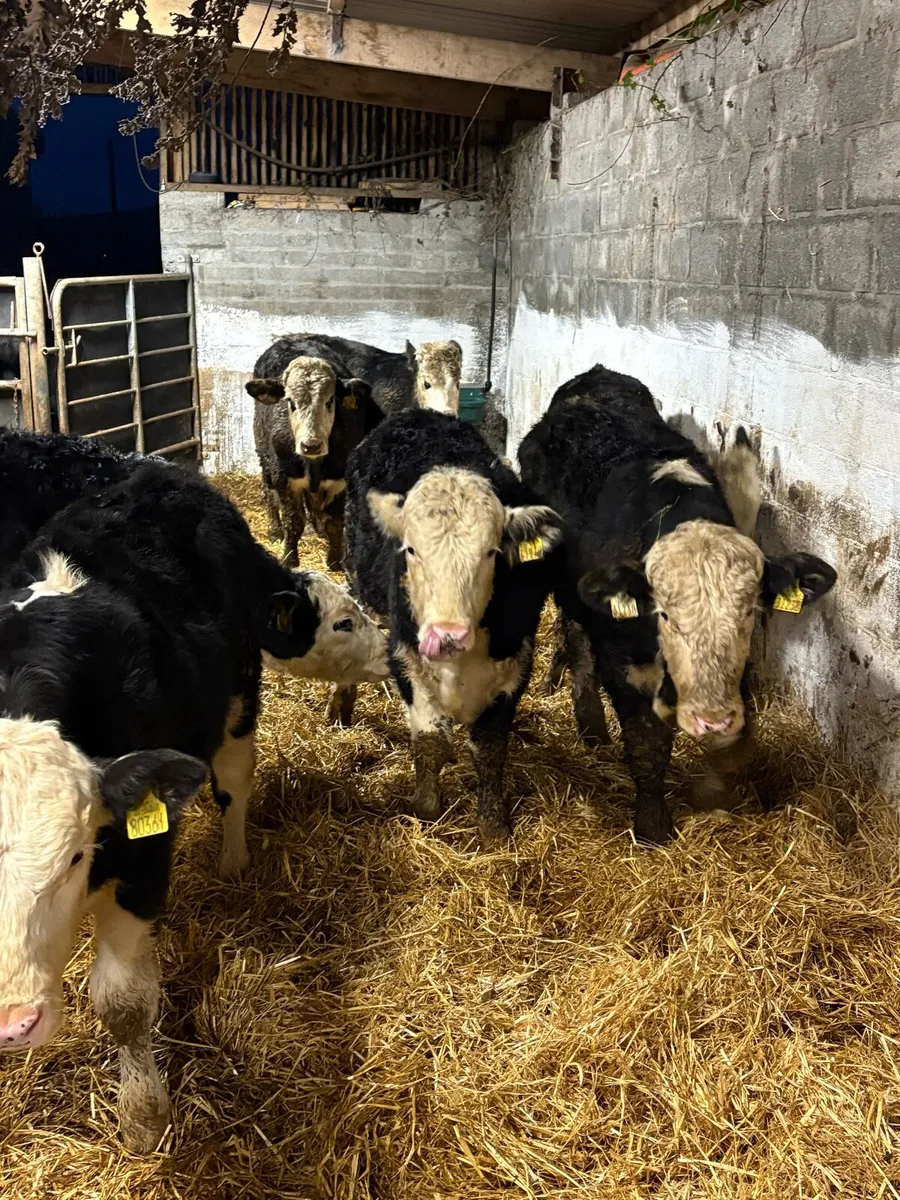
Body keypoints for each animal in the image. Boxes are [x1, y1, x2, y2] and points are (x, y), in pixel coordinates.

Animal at [0, 459, 387, 1153]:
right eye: (344, 622)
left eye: (73, 856)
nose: (14, 1023)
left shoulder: (144, 854)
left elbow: (123, 1000)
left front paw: (143, 1118)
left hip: (236, 699)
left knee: (234, 782)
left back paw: (233, 862)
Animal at [246, 341, 382, 570]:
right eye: (290, 402)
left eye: (330, 401)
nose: (311, 446)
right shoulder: (284, 477)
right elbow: (293, 522)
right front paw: (290, 559)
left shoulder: (341, 480)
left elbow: (335, 522)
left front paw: (335, 561)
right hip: (264, 457)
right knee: (269, 494)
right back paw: (275, 531)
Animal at [344, 409, 561, 847]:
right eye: (411, 550)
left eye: (491, 553)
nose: (446, 634)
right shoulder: (406, 658)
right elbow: (429, 742)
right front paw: (425, 810)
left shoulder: (516, 663)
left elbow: (489, 749)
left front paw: (494, 827)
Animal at [518, 365, 836, 844]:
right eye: (663, 613)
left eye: (750, 611)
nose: (711, 719)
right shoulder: (624, 661)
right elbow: (647, 743)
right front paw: (652, 826)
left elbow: (734, 744)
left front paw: (713, 795)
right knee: (576, 641)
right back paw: (591, 727)